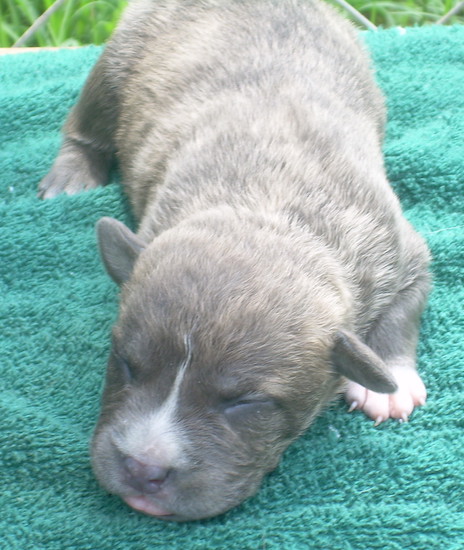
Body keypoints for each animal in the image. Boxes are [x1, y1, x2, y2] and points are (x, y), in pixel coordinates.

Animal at [40, 0, 432, 520]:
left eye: (245, 402)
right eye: (125, 363)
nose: (144, 469)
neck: (267, 211)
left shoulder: (399, 247)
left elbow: (406, 304)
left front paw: (389, 380)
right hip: (117, 60)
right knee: (88, 122)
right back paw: (72, 174)